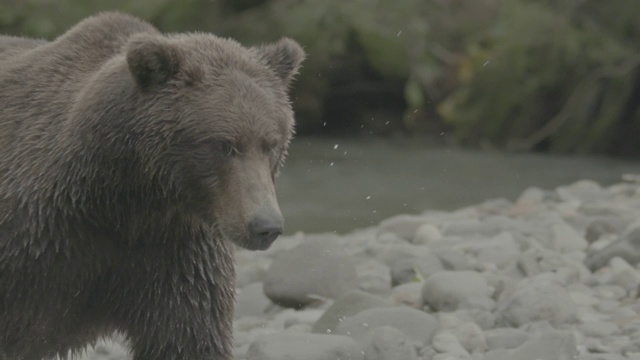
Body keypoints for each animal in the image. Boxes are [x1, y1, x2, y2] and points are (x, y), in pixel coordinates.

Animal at [0, 11, 304, 360]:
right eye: (224, 144)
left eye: (271, 143)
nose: (265, 225)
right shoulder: (31, 240)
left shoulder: (174, 256)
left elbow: (186, 338)